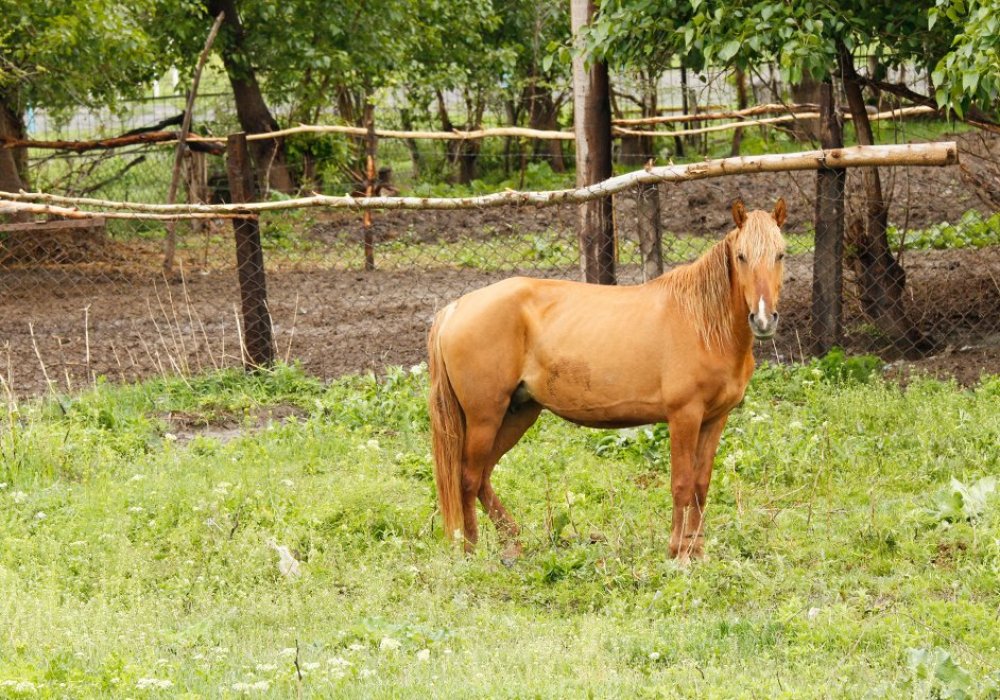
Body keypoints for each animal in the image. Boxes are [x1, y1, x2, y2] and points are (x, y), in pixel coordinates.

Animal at [426, 200, 784, 560]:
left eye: (781, 254)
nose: (763, 319)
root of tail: (456, 308)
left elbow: (700, 485)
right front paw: (677, 554)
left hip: (518, 414)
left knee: (483, 476)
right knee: (468, 478)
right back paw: (471, 551)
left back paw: (512, 542)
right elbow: (682, 484)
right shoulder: (685, 416)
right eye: (741, 256)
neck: (703, 323)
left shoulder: (714, 419)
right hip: (485, 418)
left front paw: (696, 552)